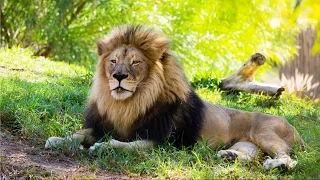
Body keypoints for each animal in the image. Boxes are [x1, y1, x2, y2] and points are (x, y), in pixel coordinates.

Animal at [45, 25, 304, 170]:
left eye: (135, 62)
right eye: (113, 61)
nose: (119, 76)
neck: (128, 104)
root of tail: (294, 128)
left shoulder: (160, 141)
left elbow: (129, 146)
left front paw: (103, 147)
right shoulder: (102, 125)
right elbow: (80, 134)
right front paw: (57, 139)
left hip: (265, 133)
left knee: (288, 157)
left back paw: (278, 165)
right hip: (247, 143)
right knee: (251, 156)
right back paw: (229, 155)